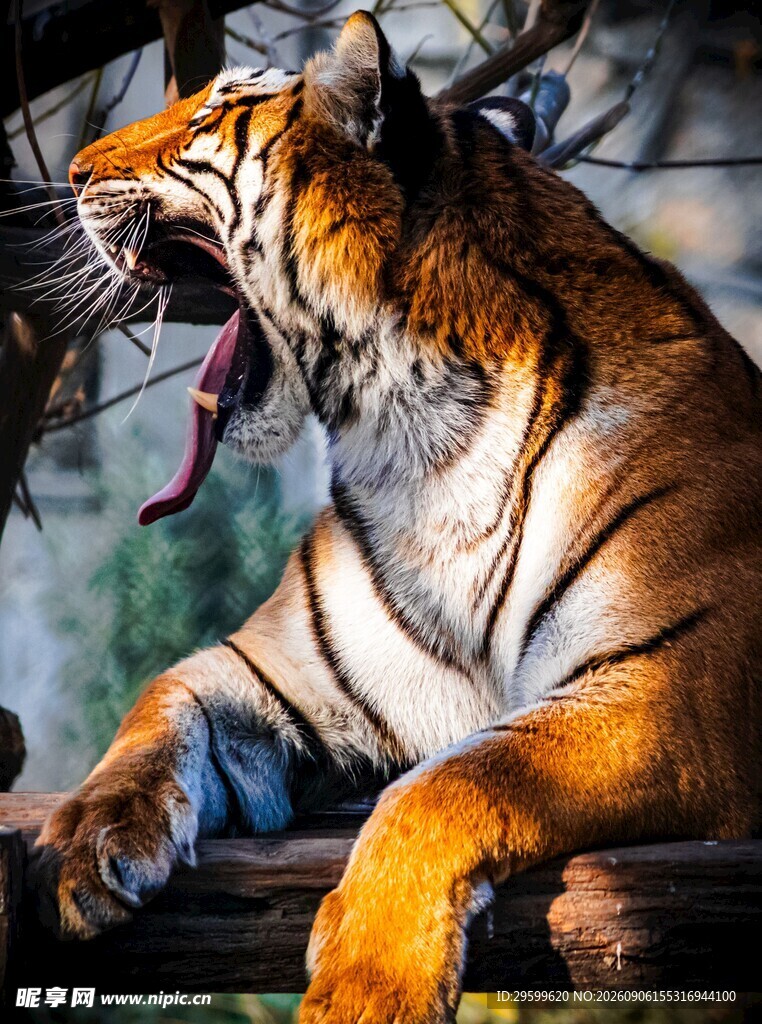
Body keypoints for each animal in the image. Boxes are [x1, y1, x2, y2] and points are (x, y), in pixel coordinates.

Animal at [33, 10, 761, 1023]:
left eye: (211, 114)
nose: (71, 172)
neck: (424, 443)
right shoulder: (275, 670)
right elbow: (156, 705)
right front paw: (82, 842)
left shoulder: (666, 689)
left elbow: (452, 781)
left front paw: (367, 988)